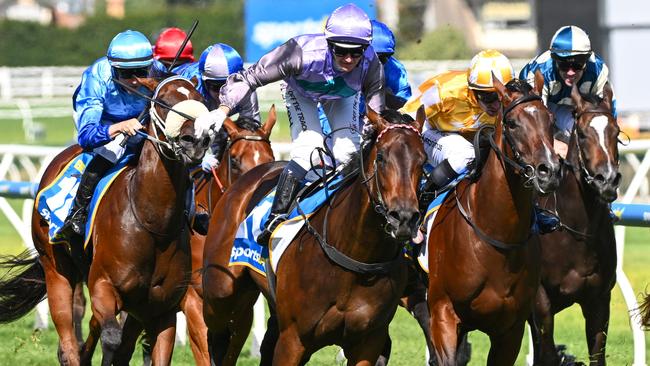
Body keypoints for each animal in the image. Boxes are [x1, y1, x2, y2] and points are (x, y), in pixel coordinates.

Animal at [0, 76, 208, 364]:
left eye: (200, 99)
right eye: (163, 101)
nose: (195, 141)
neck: (153, 223)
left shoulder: (161, 308)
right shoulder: (103, 286)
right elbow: (112, 339)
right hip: (56, 268)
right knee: (68, 341)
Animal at [200, 106, 428, 366]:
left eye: (423, 160)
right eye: (381, 157)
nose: (404, 218)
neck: (356, 255)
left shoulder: (369, 342)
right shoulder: (293, 339)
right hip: (222, 294)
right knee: (221, 336)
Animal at [528, 83, 616, 366]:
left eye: (616, 132)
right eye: (584, 134)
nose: (606, 180)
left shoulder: (599, 300)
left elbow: (597, 356)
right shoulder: (540, 300)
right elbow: (547, 353)